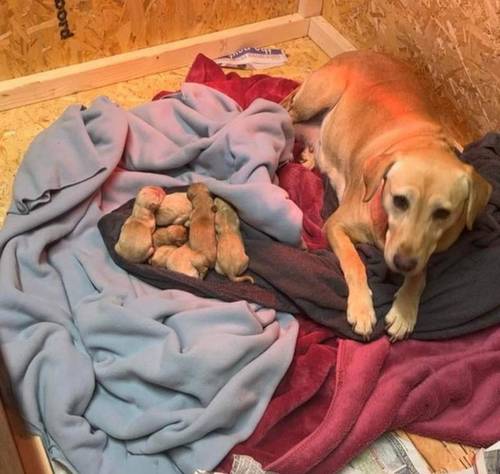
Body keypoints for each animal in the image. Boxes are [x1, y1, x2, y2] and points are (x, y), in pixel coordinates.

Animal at [286, 50, 492, 340]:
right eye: (400, 201)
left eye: (443, 213)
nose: (402, 263)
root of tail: (358, 51)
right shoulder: (335, 226)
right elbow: (355, 262)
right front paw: (362, 308)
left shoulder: (424, 252)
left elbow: (420, 274)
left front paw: (405, 310)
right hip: (317, 97)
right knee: (284, 111)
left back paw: (311, 156)